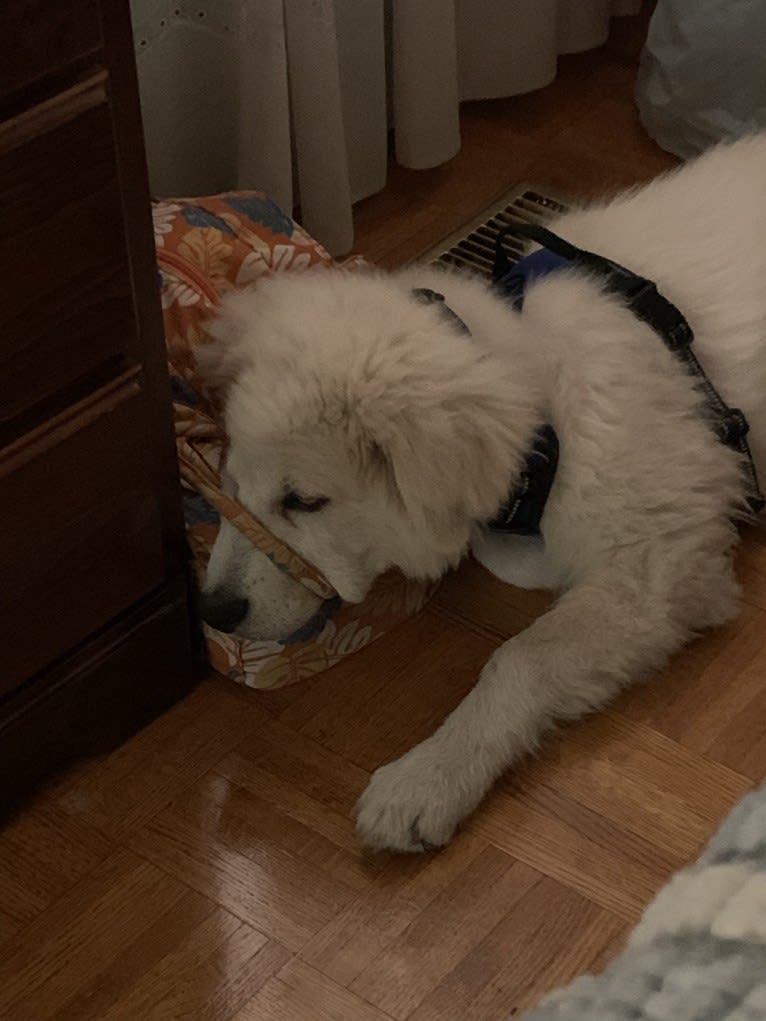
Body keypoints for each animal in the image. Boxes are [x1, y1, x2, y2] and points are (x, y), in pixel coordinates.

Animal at [202, 135, 766, 853]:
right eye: (232, 484)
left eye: (304, 501)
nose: (212, 610)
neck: (545, 395)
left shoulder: (657, 570)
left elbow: (518, 659)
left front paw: (427, 779)